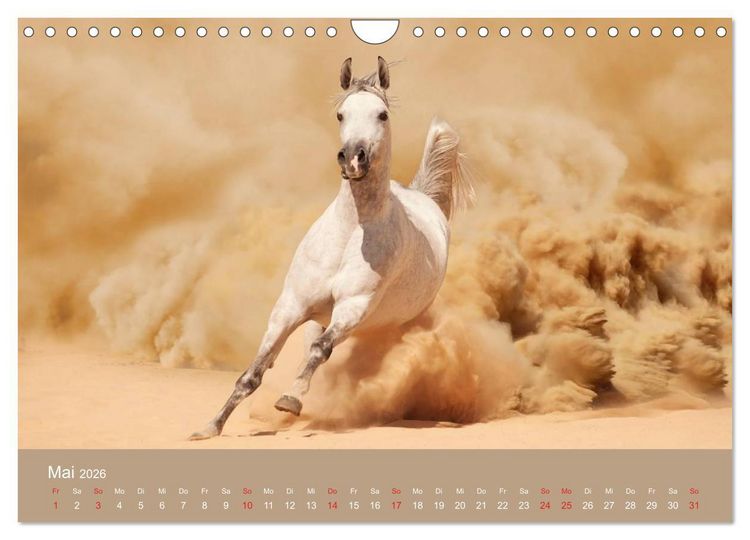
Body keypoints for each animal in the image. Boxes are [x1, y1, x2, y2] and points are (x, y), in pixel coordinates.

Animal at [190, 56, 475, 440]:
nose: (353, 158)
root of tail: (423, 197)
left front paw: (290, 400)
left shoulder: (352, 308)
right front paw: (210, 427)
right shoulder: (290, 306)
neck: (350, 234)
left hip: (392, 323)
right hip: (320, 317)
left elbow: (320, 350)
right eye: (341, 114)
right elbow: (255, 371)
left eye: (382, 114)